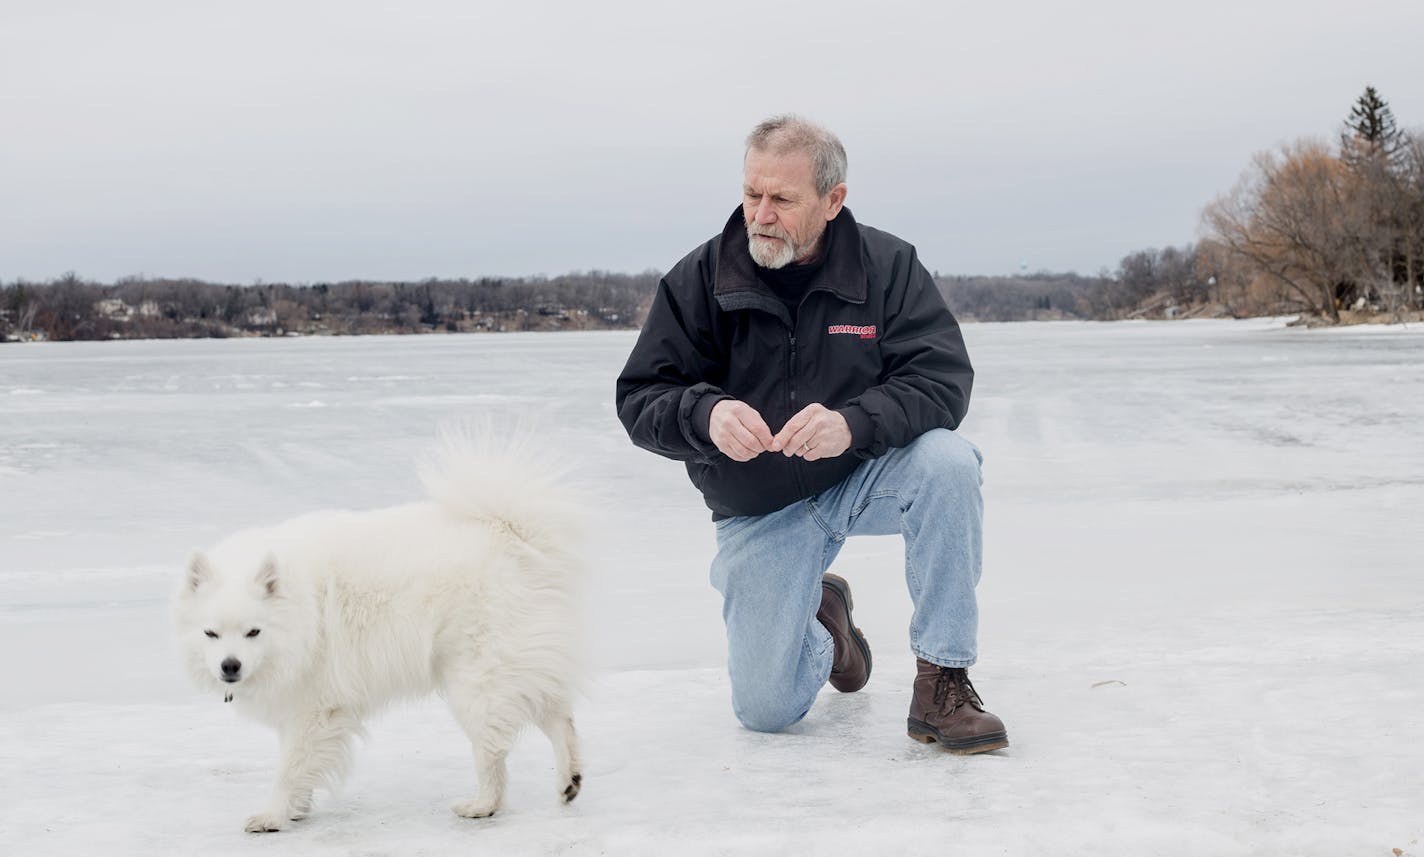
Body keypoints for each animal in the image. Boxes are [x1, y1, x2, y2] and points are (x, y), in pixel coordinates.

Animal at [172, 432, 583, 825]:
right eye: (210, 633)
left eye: (253, 632)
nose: (230, 666)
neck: (300, 614)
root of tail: (510, 534)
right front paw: (297, 810)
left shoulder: (315, 707)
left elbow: (290, 768)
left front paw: (272, 816)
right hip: (518, 661)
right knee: (557, 715)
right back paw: (569, 780)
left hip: (477, 677)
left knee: (494, 747)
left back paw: (484, 805)